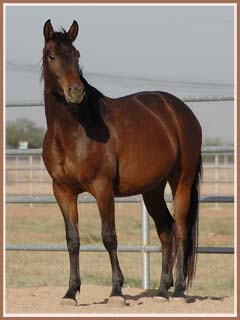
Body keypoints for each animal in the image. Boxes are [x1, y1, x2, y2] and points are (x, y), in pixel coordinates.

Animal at [41, 20, 202, 304]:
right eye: (52, 56)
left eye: (76, 55)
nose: (76, 91)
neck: (73, 131)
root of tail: (182, 111)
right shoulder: (62, 191)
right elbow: (72, 240)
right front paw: (71, 292)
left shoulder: (103, 188)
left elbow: (109, 237)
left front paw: (116, 290)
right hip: (152, 189)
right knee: (165, 229)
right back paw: (162, 290)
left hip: (181, 180)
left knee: (181, 229)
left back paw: (179, 291)